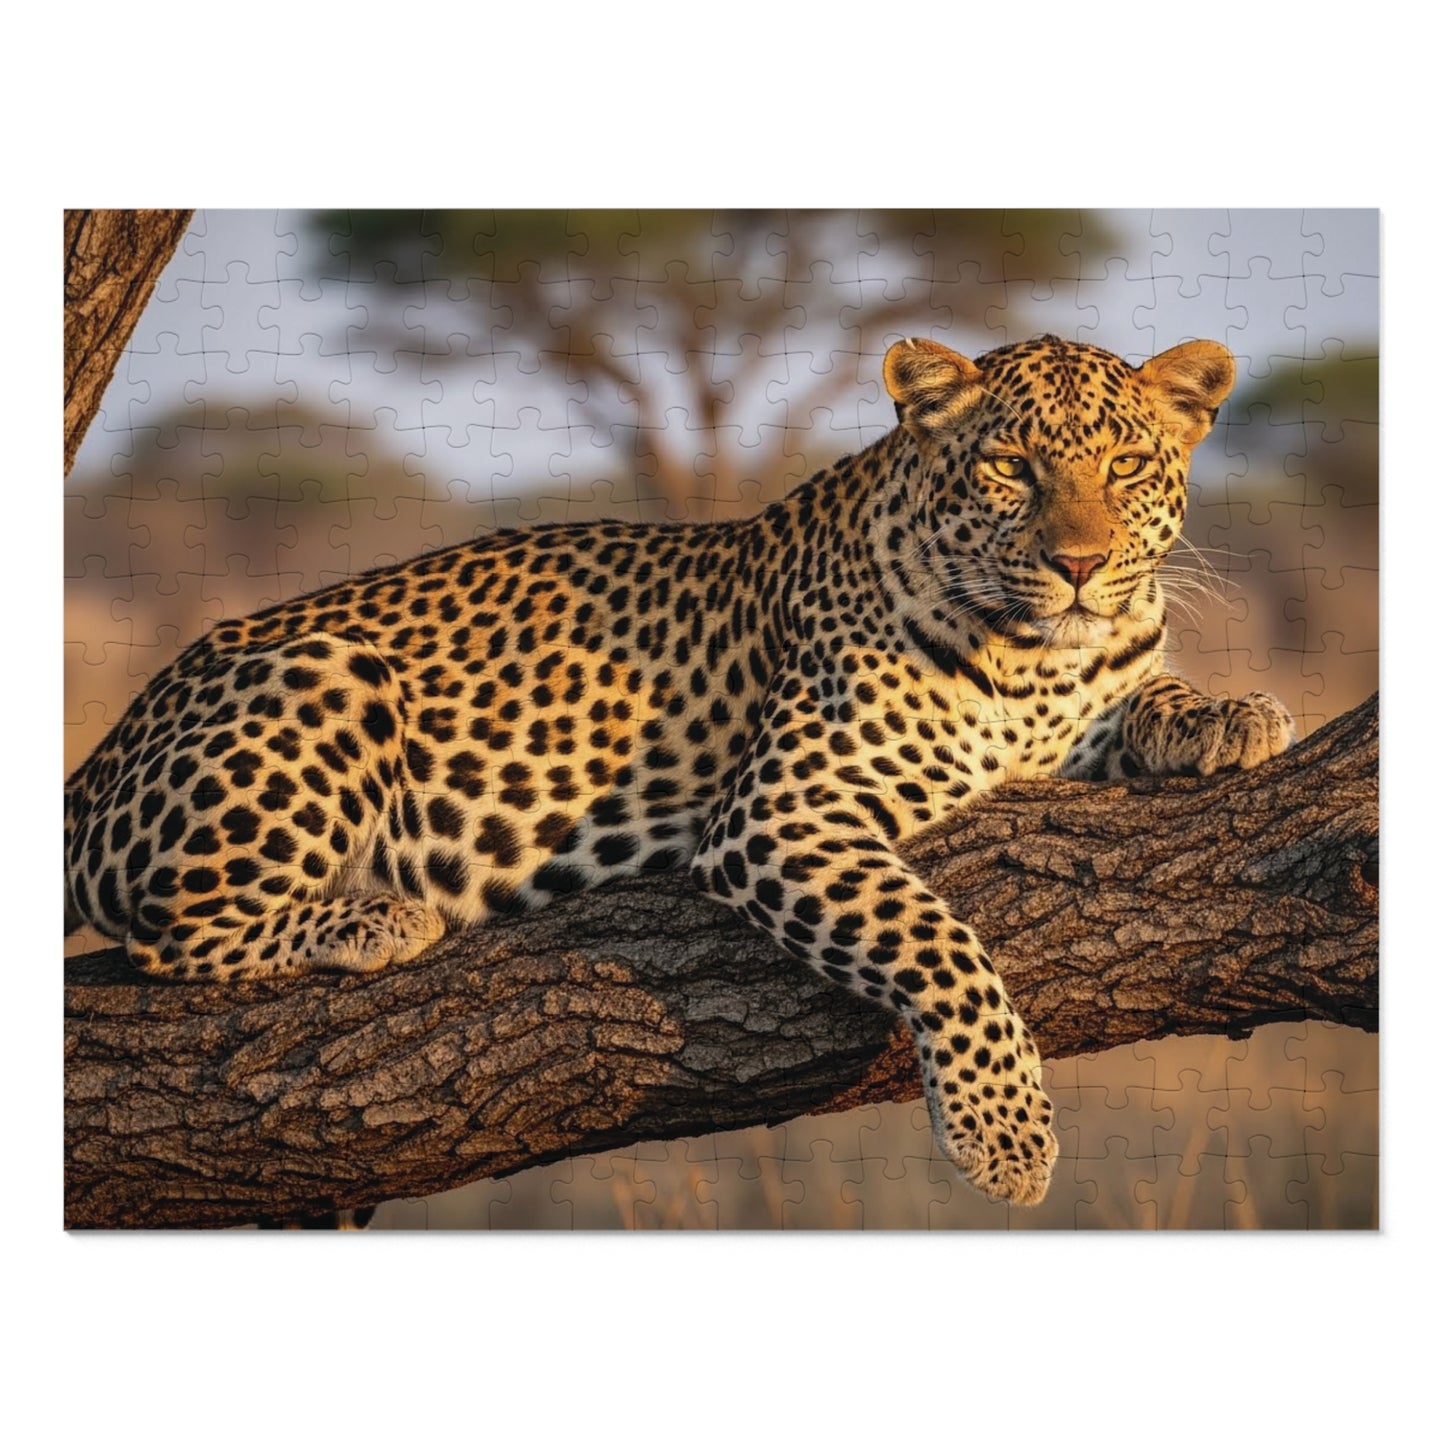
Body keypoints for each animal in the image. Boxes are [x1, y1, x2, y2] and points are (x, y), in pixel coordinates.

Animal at [64, 333, 1294, 1207]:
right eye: (1006, 465)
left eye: (1124, 465)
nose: (1078, 564)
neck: (1035, 661)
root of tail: (105, 749)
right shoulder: (782, 813)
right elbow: (937, 939)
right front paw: (1005, 1135)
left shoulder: (1085, 699)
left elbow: (1148, 691)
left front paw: (1228, 714)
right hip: (326, 666)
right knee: (171, 936)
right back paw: (371, 916)